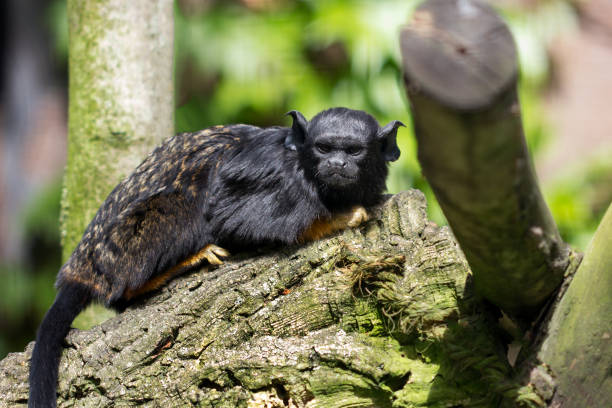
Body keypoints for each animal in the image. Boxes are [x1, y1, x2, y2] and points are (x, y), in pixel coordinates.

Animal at [28, 107, 404, 406]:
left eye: (353, 151)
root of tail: (81, 269)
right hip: (124, 246)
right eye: (323, 148)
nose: (337, 163)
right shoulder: (271, 173)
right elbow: (236, 216)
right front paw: (343, 217)